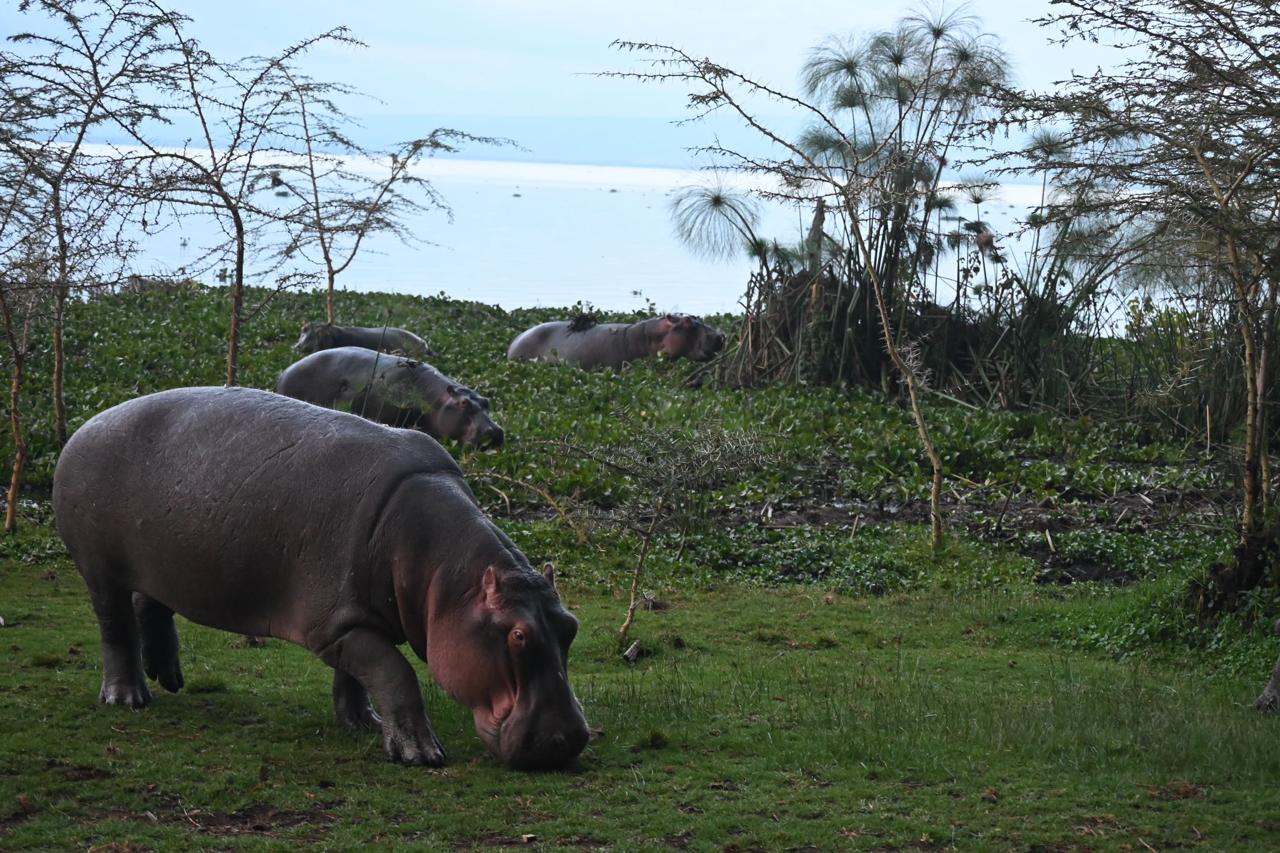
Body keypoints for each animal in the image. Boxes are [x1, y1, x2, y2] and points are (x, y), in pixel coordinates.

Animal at [53, 387, 588, 770]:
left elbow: (356, 676)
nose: (569, 739)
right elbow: (396, 673)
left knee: (153, 604)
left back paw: (171, 678)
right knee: (115, 626)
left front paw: (361, 723)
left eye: (571, 626)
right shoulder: (338, 624)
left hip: (170, 560)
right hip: (101, 571)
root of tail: (84, 426)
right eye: (517, 635)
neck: (448, 580)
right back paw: (129, 698)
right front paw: (421, 754)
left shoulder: (352, 619)